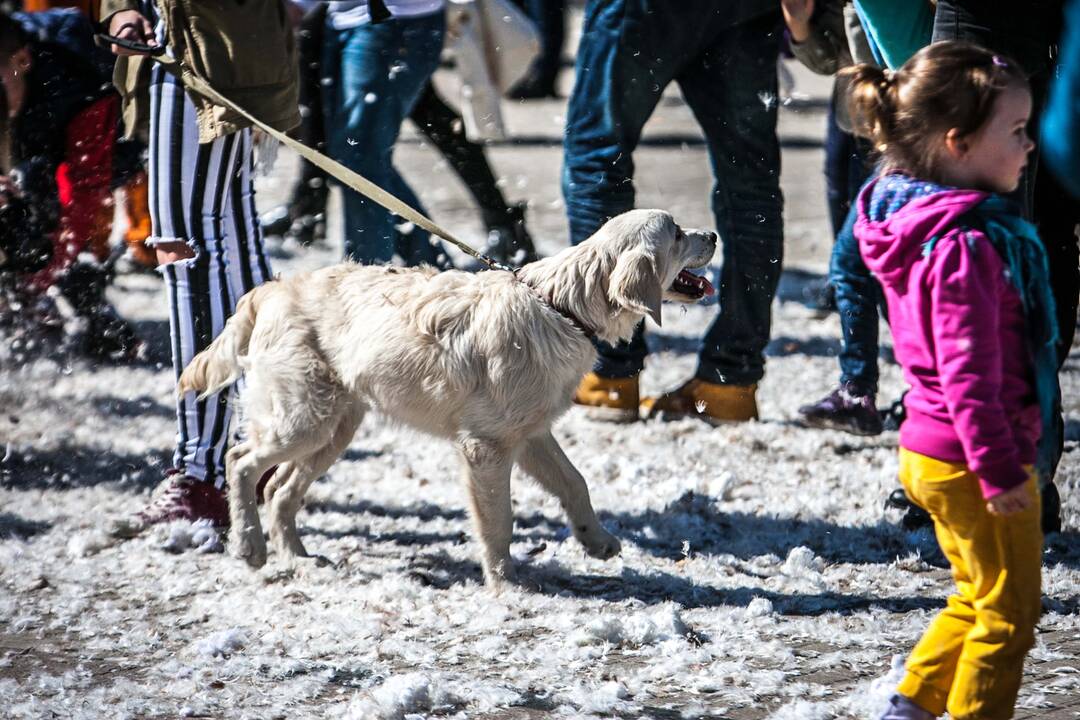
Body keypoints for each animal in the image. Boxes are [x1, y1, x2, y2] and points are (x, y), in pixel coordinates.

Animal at [177, 207, 717, 587]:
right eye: (676, 233)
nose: (712, 235)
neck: (560, 307)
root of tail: (273, 289)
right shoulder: (486, 447)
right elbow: (498, 521)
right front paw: (505, 584)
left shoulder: (531, 434)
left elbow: (575, 483)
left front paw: (596, 541)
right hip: (302, 419)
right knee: (241, 462)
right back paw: (250, 546)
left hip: (333, 428)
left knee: (279, 490)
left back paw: (298, 557)